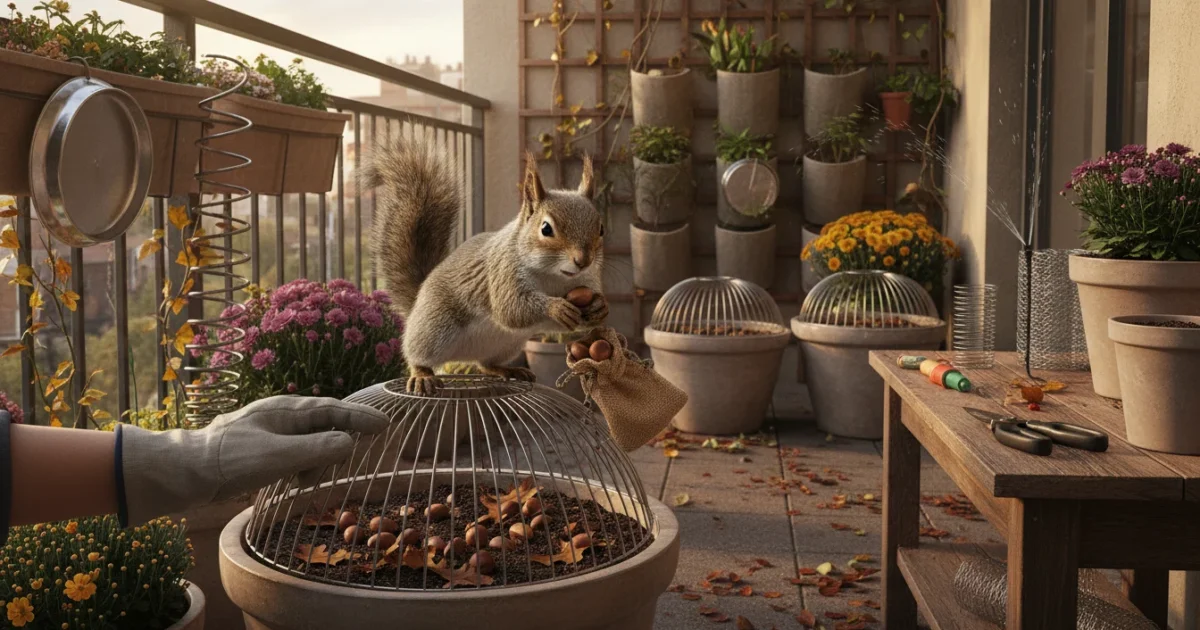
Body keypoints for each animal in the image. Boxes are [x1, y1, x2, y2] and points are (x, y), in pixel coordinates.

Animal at [367, 139, 608, 394]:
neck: (554, 276)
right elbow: (512, 308)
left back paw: (509, 370)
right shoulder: (502, 272)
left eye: (601, 228)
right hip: (434, 328)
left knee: (486, 365)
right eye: (545, 229)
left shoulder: (588, 279)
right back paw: (422, 375)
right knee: (417, 355)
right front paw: (555, 307)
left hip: (506, 345)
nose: (583, 261)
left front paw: (600, 307)